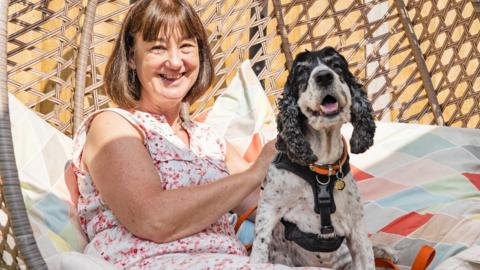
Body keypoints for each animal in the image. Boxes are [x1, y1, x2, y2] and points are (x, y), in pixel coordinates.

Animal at [249, 47, 376, 268]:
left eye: (336, 65)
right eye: (302, 72)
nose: (323, 76)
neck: (320, 169)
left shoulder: (356, 227)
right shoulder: (269, 206)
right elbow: (260, 245)